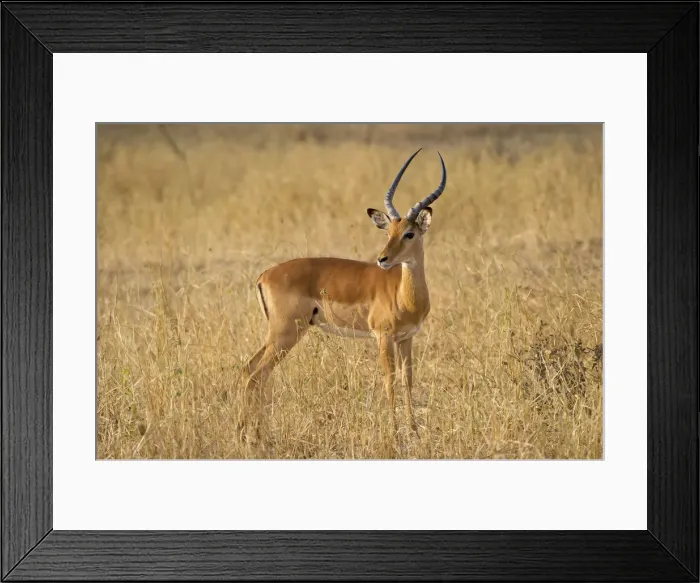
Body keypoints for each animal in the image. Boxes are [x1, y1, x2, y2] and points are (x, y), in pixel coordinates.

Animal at [242, 148, 447, 445]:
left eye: (409, 233)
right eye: (388, 232)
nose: (382, 259)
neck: (404, 294)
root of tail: (264, 275)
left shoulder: (406, 338)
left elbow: (407, 380)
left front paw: (414, 432)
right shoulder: (383, 337)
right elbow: (390, 381)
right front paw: (395, 436)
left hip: (278, 335)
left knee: (249, 370)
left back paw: (248, 433)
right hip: (285, 334)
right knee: (257, 375)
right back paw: (254, 437)